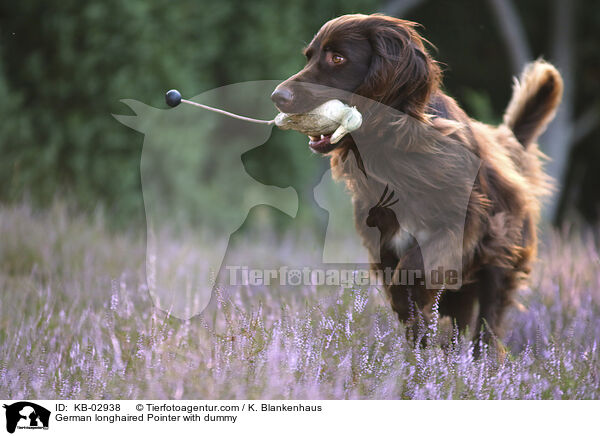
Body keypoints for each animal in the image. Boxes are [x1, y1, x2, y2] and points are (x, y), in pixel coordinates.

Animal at [272, 13, 564, 354]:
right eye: (309, 56)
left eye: (338, 58)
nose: (278, 96)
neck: (396, 148)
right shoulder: (382, 242)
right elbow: (402, 290)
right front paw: (416, 335)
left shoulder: (462, 224)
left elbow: (413, 268)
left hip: (498, 256)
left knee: (488, 323)